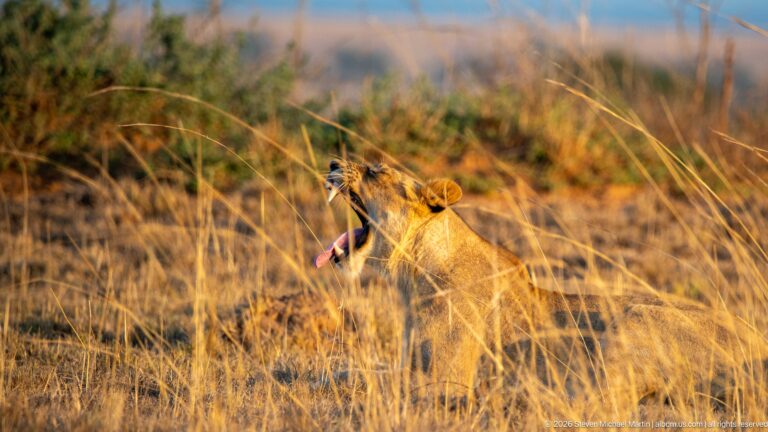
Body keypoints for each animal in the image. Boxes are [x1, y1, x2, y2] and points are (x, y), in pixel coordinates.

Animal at [313, 159, 765, 409]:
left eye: (374, 170)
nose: (333, 163)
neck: (413, 276)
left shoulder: (445, 379)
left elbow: (374, 379)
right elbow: (364, 369)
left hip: (633, 321)